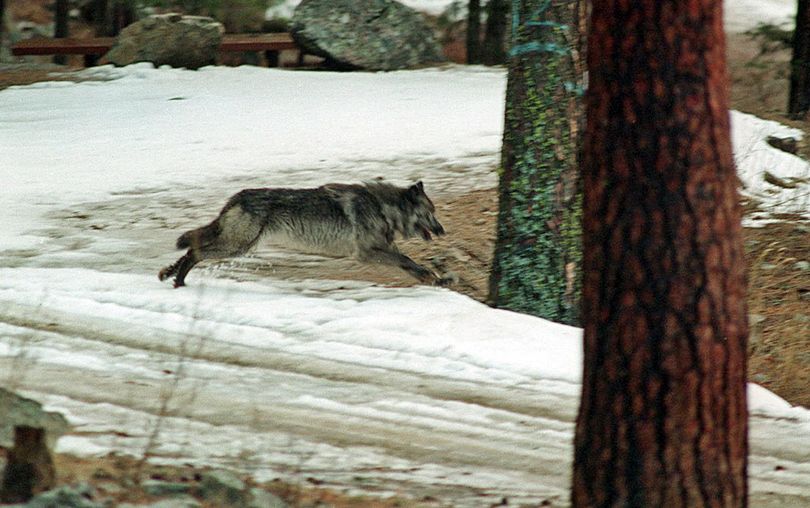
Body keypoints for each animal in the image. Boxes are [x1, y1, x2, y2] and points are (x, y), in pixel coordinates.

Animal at [158, 181, 448, 288]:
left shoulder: (383, 249)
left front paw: (436, 279)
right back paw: (179, 281)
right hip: (237, 247)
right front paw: (433, 277)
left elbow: (410, 265)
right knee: (195, 251)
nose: (442, 230)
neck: (381, 207)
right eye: (430, 213)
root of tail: (235, 197)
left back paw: (168, 273)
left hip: (236, 244)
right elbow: (407, 260)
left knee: (192, 246)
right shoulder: (367, 253)